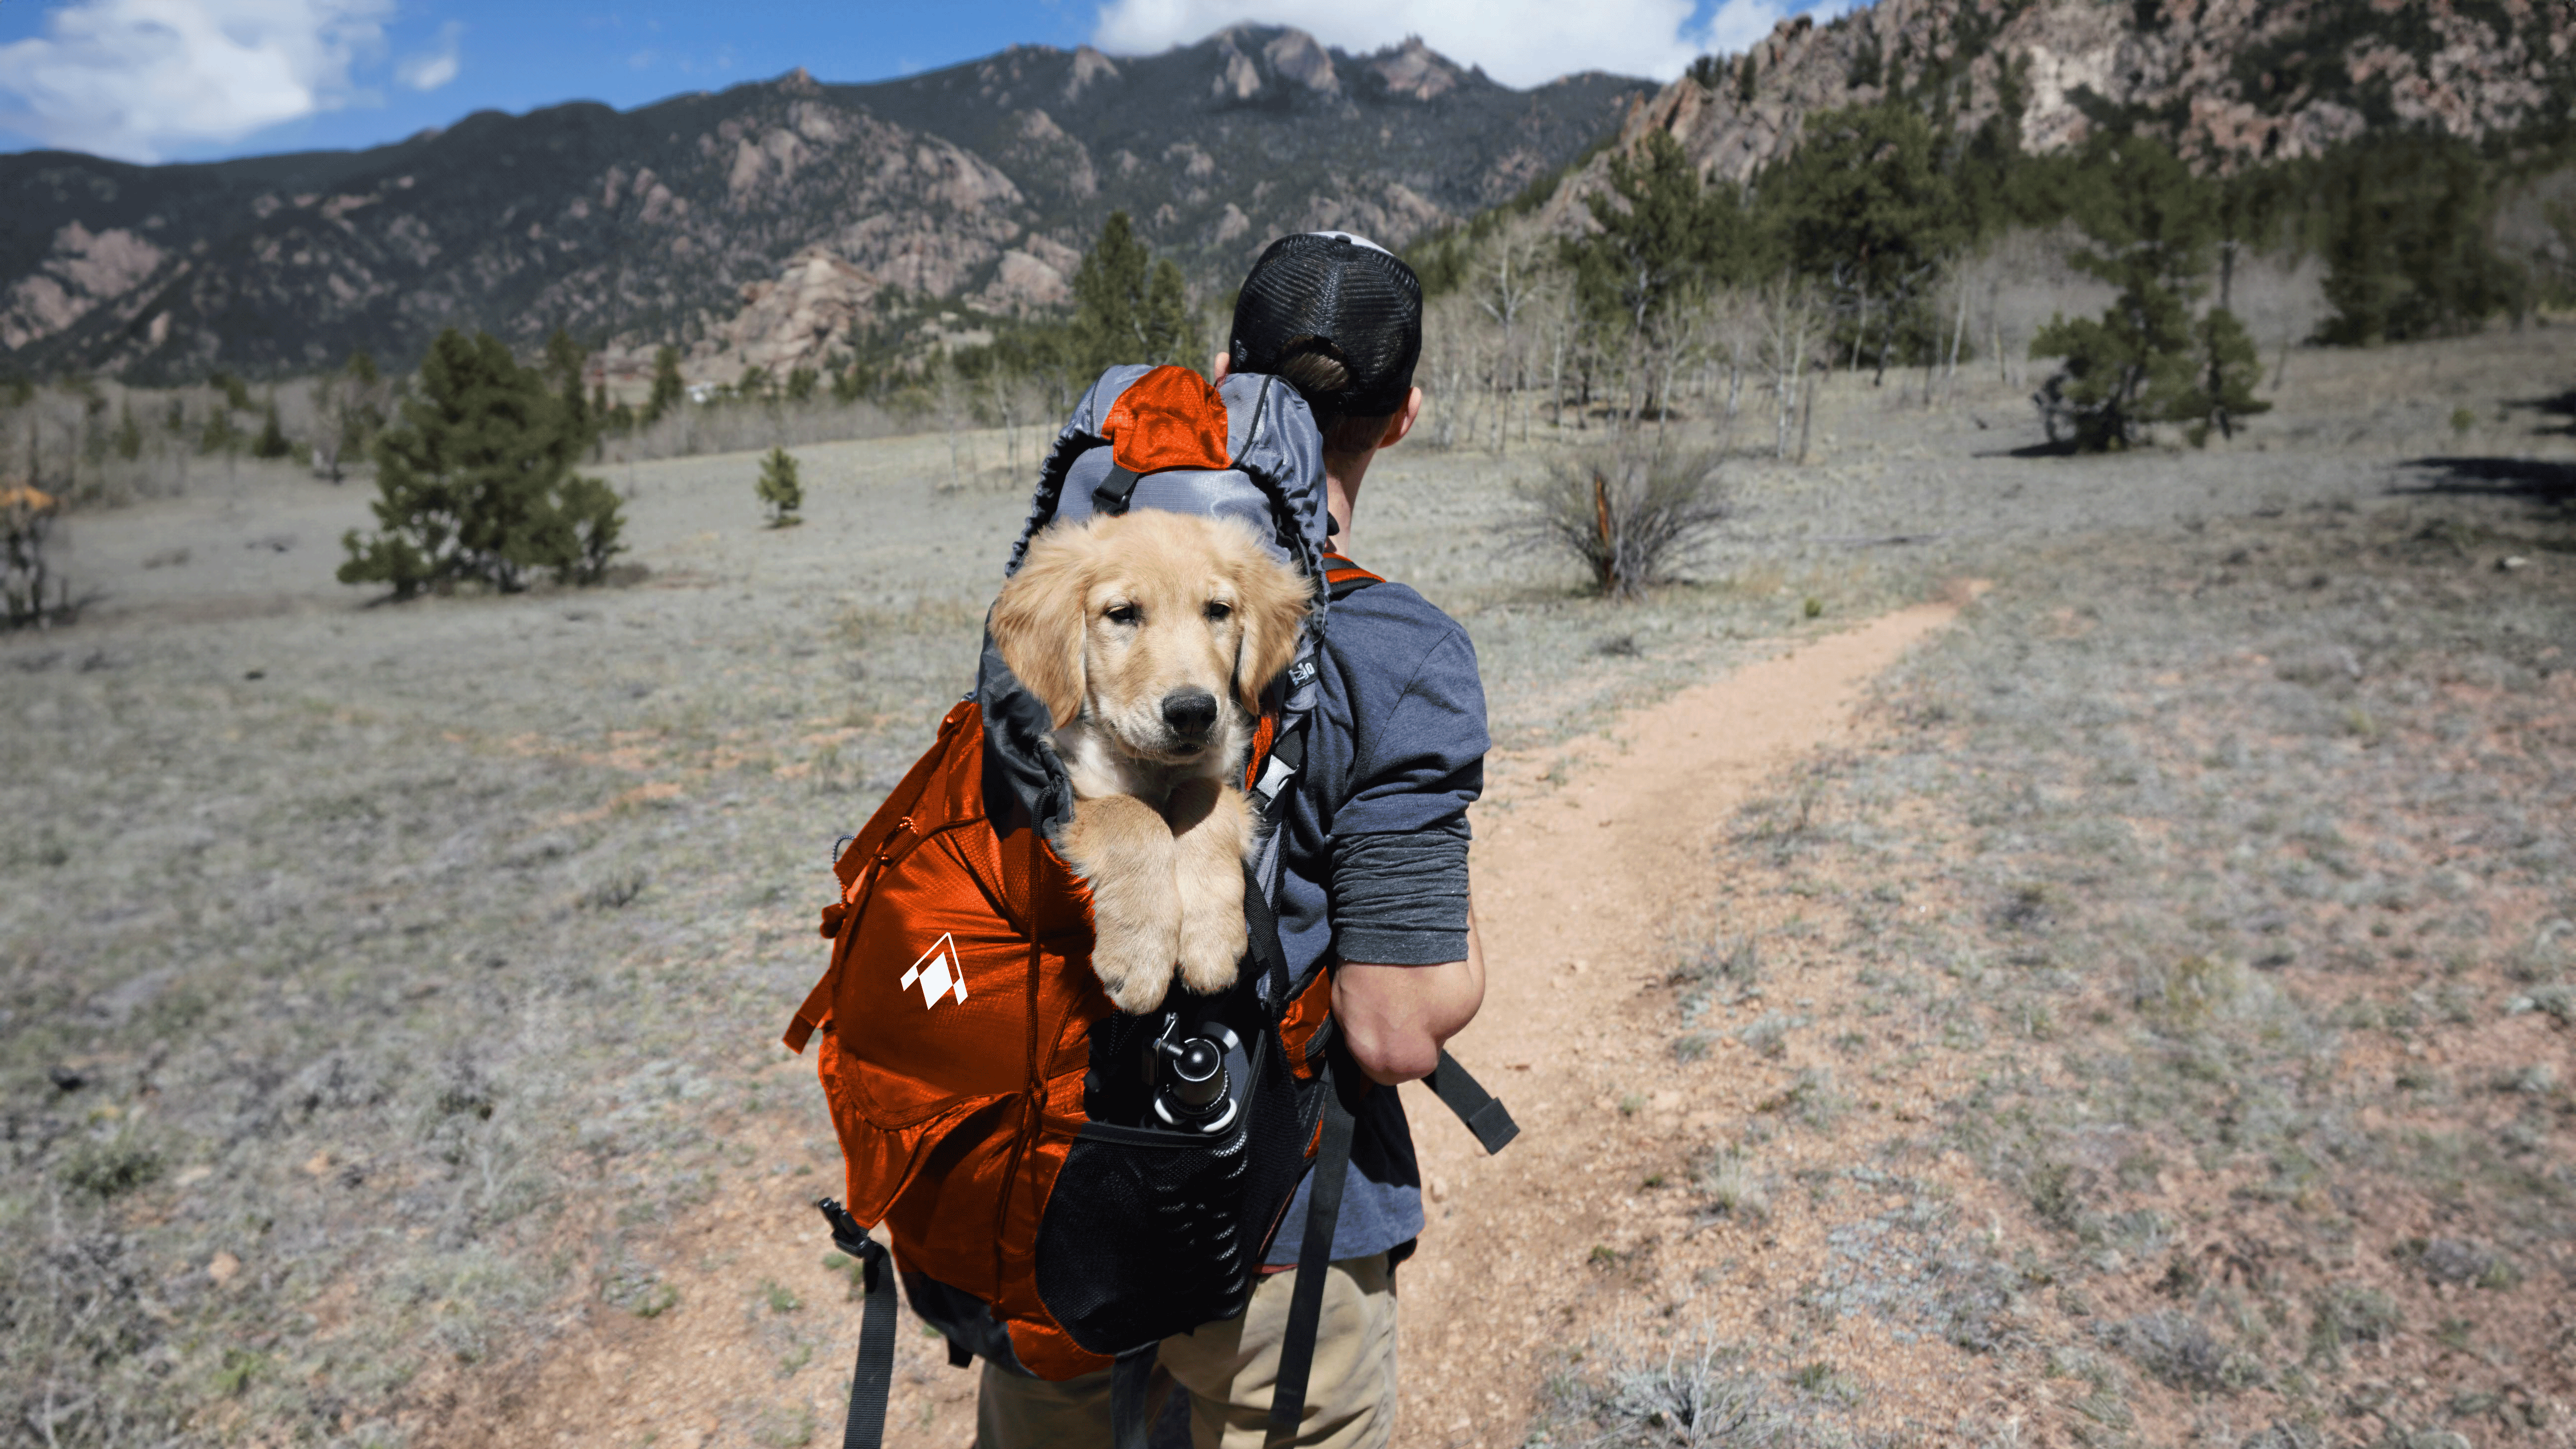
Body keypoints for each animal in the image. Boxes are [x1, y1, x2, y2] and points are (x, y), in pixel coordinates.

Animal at [984, 515, 1308, 1014]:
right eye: (1122, 614)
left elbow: (1203, 800)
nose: (1193, 711)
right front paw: (1140, 953)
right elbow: (1133, 815)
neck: (1154, 768)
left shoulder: (1223, 776)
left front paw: (1210, 939)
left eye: (1218, 610)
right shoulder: (1072, 792)